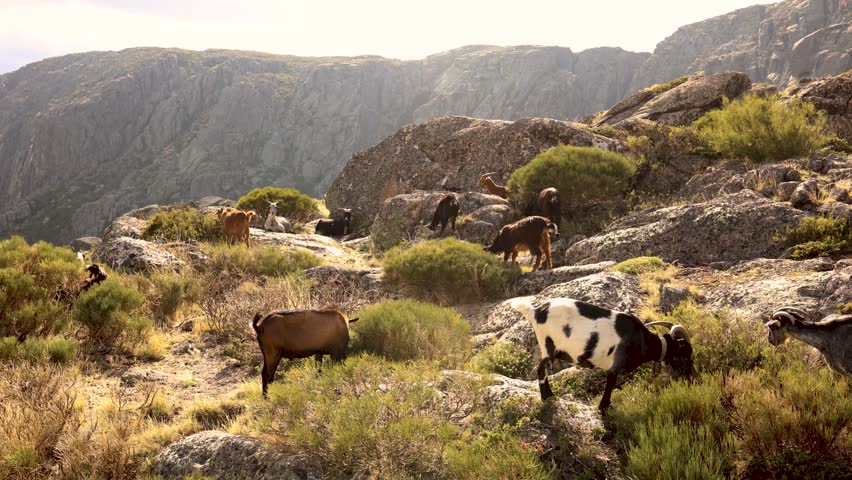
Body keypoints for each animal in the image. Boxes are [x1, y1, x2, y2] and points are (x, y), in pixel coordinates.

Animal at [512, 296, 694, 413]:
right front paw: (604, 409)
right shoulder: (614, 368)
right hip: (548, 344)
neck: (643, 341)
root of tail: (536, 311)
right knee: (541, 369)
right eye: (686, 354)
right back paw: (547, 396)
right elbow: (609, 387)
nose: (691, 377)